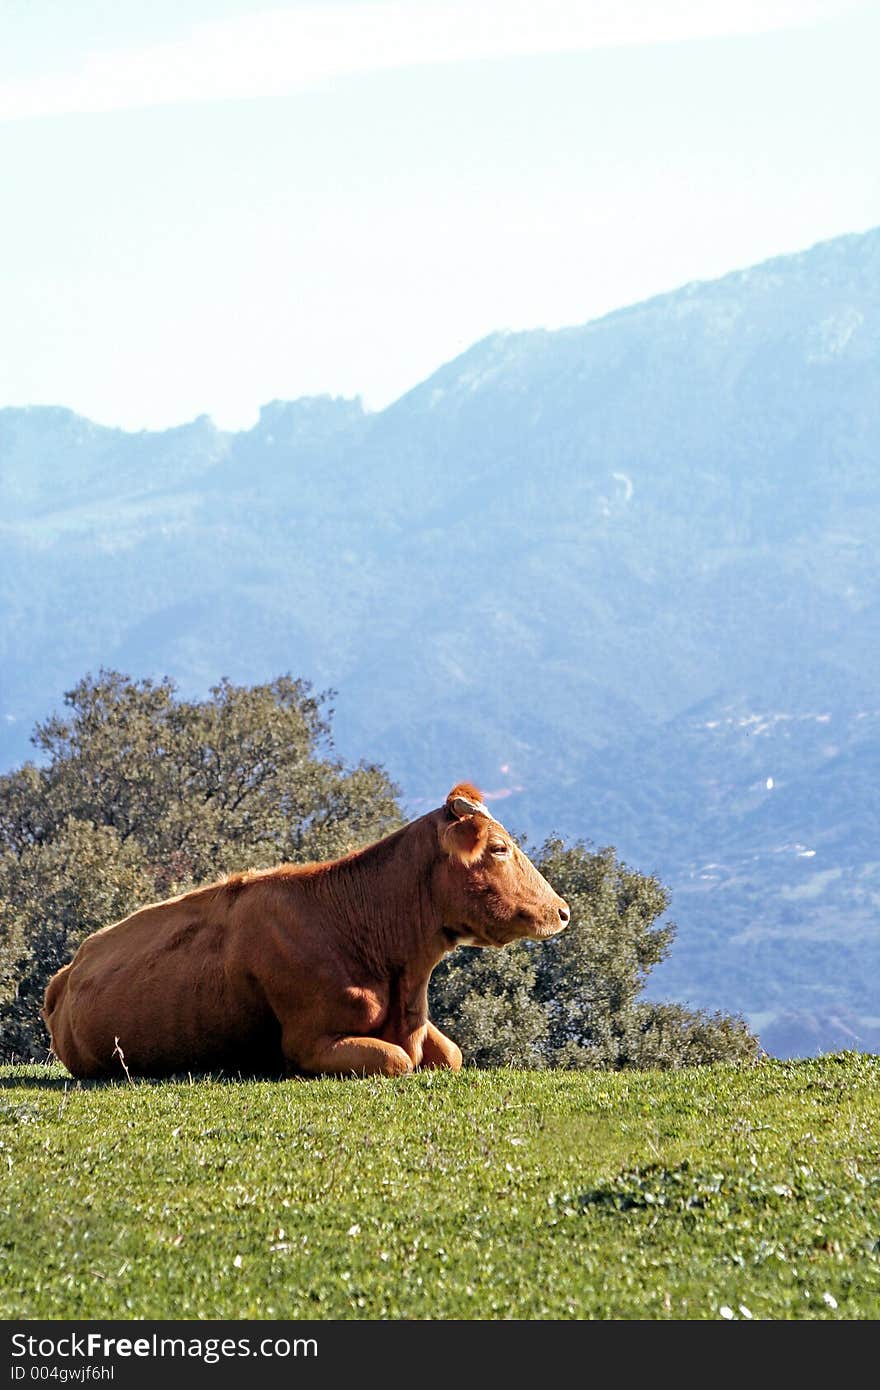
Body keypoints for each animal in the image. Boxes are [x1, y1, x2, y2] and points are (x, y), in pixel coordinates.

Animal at [41, 778, 567, 1078]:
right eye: (498, 848)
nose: (562, 911)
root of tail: (68, 970)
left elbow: (452, 1054)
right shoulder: (309, 1042)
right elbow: (396, 1060)